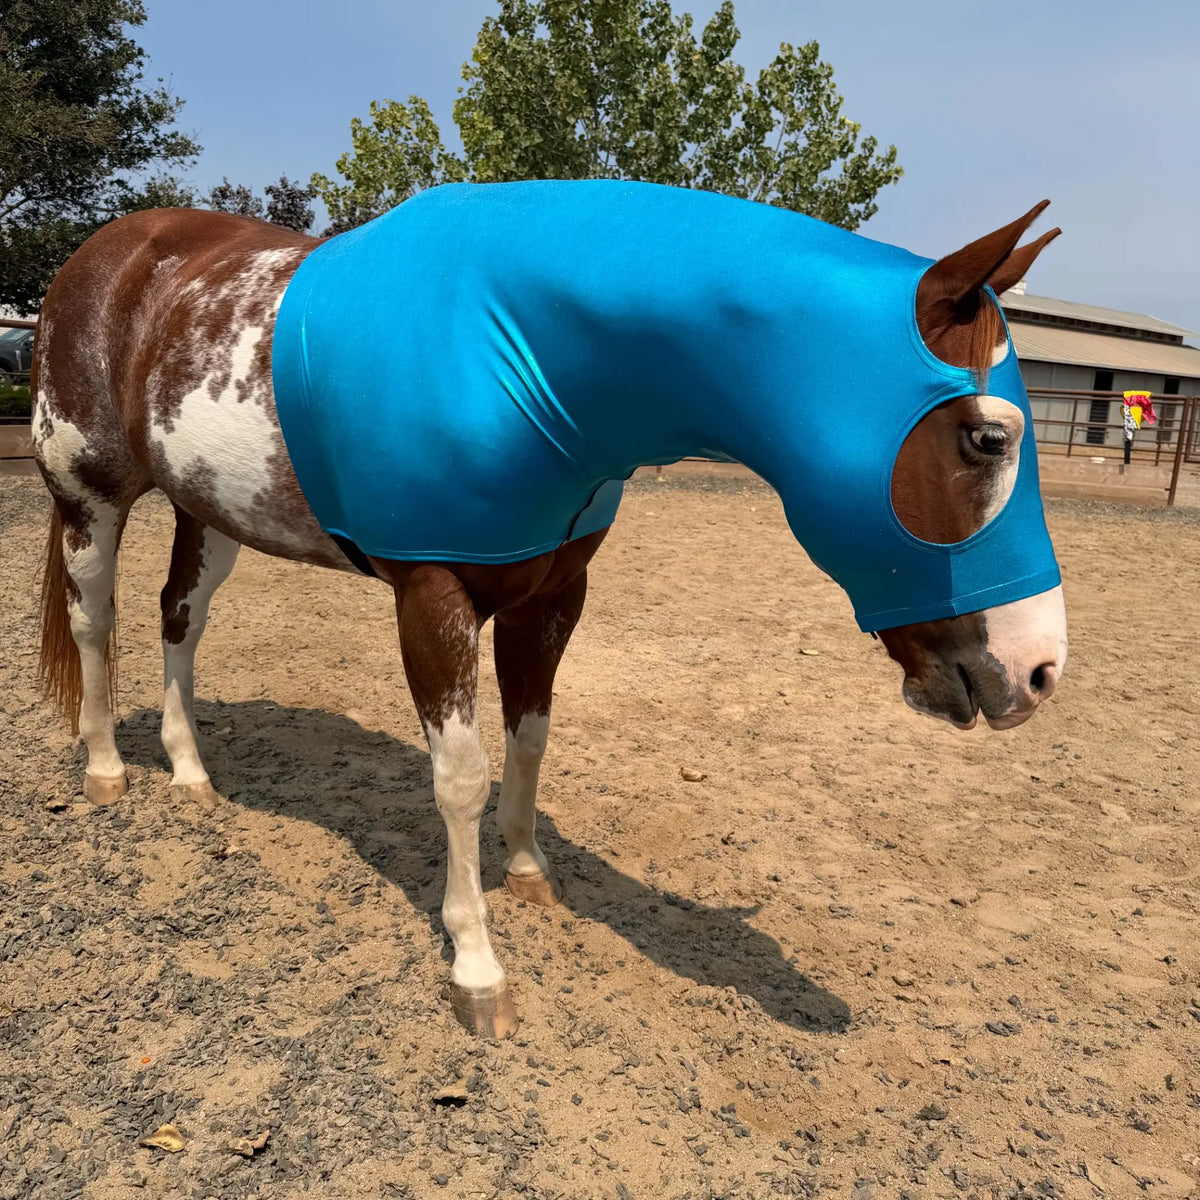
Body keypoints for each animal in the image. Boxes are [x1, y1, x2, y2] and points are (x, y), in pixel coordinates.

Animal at [31, 185, 1067, 1037]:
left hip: (209, 511)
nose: (1038, 671)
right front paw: (477, 967)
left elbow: (529, 740)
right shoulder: (432, 598)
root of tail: (107, 255)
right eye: (987, 438)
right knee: (96, 624)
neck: (524, 352)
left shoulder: (552, 599)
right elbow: (459, 776)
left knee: (179, 621)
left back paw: (190, 772)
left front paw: (528, 872)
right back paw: (107, 770)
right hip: (92, 500)